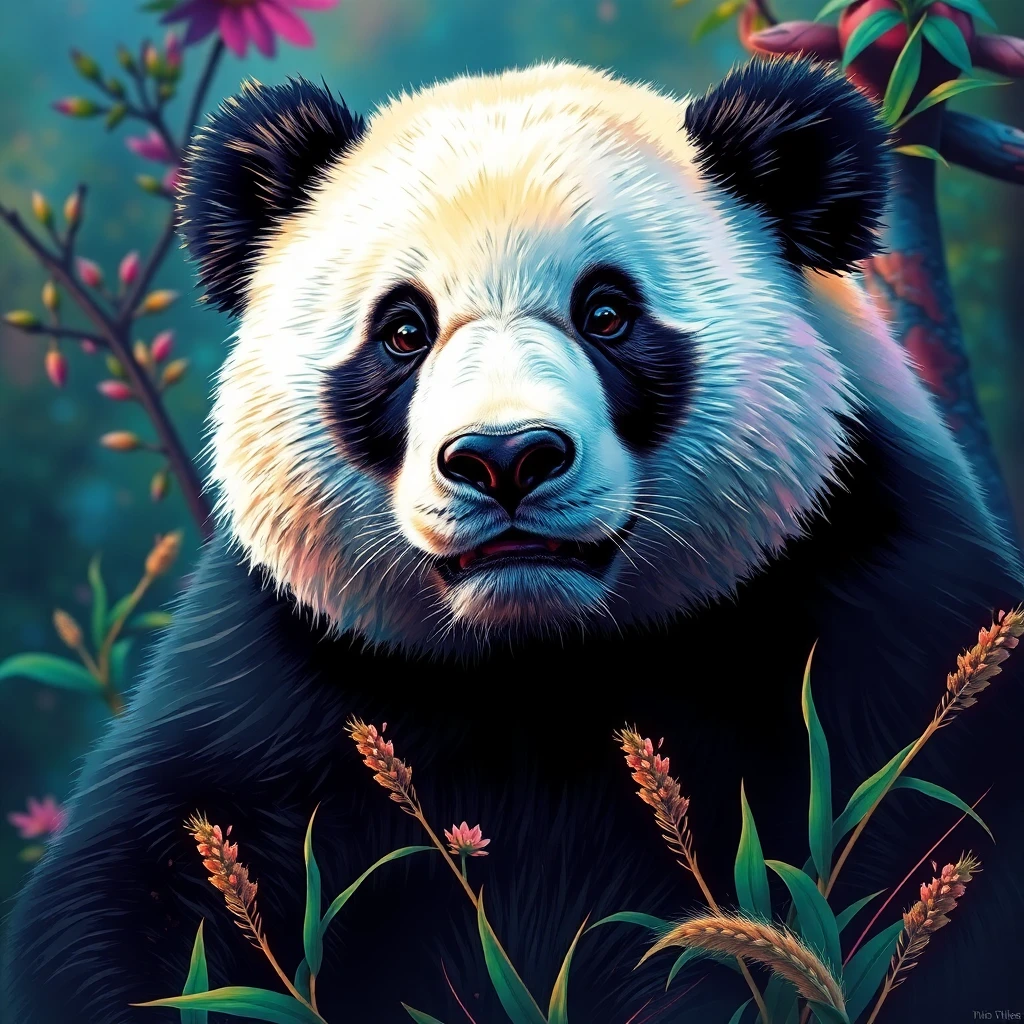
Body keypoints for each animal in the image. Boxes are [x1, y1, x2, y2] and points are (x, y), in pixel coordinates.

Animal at [4, 57, 1022, 1024]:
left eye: (607, 313)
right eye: (403, 329)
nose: (504, 458)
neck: (538, 658)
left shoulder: (876, 604)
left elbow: (947, 837)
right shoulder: (279, 678)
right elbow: (130, 891)